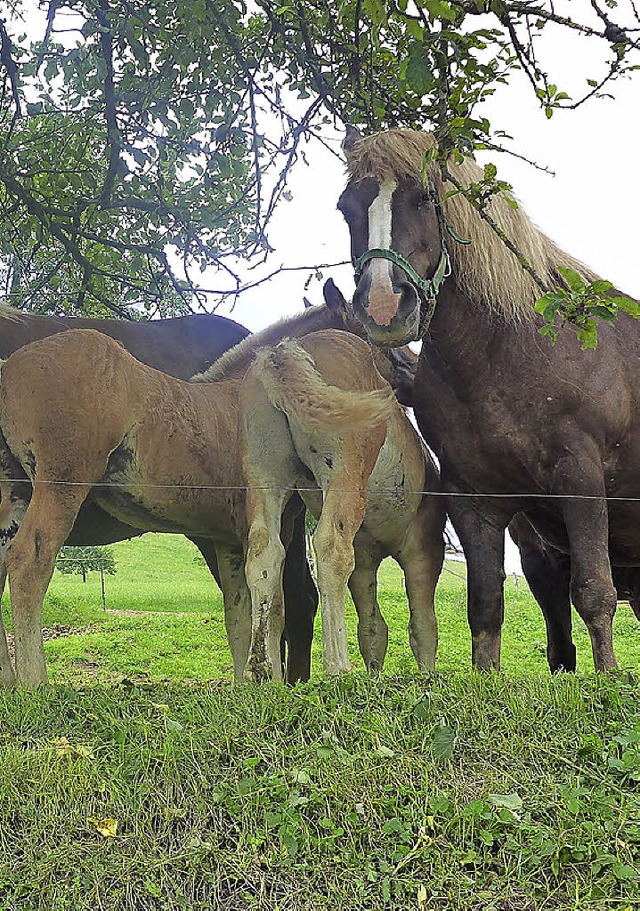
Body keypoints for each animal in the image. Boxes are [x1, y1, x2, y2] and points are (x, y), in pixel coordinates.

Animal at [338, 126, 636, 668]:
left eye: (425, 197)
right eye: (347, 208)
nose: (384, 306)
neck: (505, 349)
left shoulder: (580, 478)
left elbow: (593, 592)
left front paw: (607, 677)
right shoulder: (472, 499)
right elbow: (484, 603)